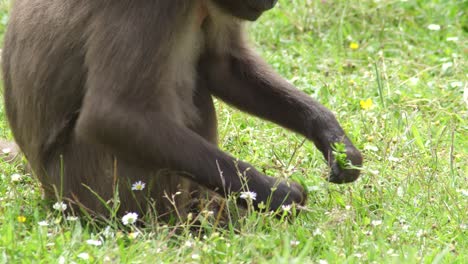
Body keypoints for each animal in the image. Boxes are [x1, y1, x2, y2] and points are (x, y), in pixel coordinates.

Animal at [1, 0, 364, 219]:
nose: (272, 1)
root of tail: (49, 191)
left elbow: (222, 66)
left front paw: (332, 138)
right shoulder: (149, 7)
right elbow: (111, 115)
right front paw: (279, 195)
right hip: (92, 188)